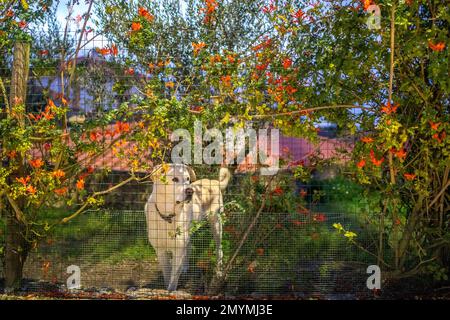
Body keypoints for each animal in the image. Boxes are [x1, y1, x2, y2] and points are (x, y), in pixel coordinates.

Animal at [145, 164, 230, 292]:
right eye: (175, 179)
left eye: (188, 179)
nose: (190, 191)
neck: (168, 216)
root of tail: (214, 181)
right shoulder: (160, 250)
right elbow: (167, 274)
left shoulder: (178, 249)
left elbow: (174, 277)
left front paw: (171, 291)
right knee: (189, 246)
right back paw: (185, 267)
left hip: (216, 223)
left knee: (219, 249)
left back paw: (219, 270)